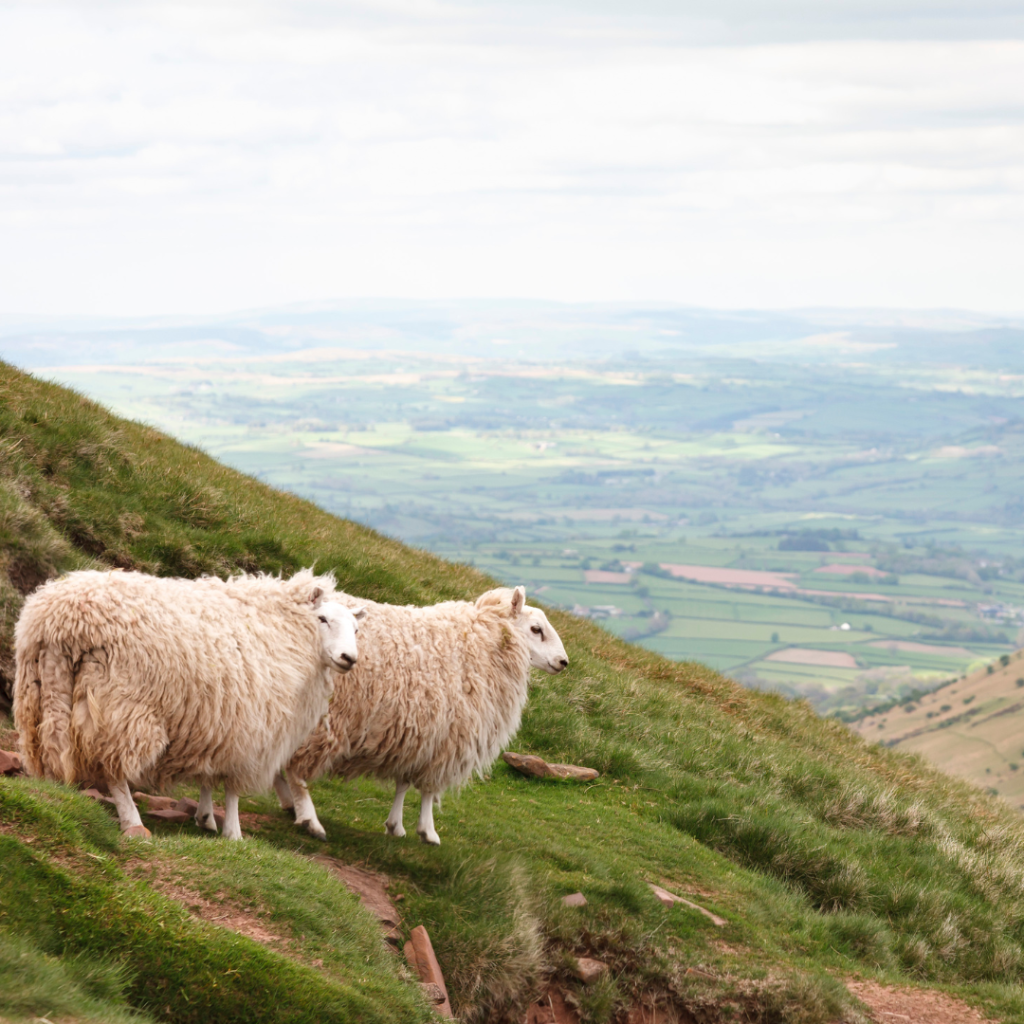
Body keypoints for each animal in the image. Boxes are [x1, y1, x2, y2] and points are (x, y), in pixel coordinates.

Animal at [14, 568, 365, 840]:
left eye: (356, 628)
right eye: (323, 619)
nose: (349, 658)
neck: (287, 631)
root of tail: (62, 620)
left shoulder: (216, 722)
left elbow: (208, 775)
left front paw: (206, 818)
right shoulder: (249, 730)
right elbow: (233, 789)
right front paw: (234, 833)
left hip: (43, 695)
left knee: (54, 750)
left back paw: (57, 794)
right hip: (123, 705)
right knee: (114, 770)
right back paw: (133, 823)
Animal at [275, 585, 568, 845]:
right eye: (536, 629)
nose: (564, 662)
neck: (482, 644)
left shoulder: (417, 734)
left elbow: (404, 782)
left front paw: (395, 825)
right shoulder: (446, 738)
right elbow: (429, 789)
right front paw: (427, 831)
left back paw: (289, 803)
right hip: (321, 716)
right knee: (296, 769)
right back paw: (309, 818)